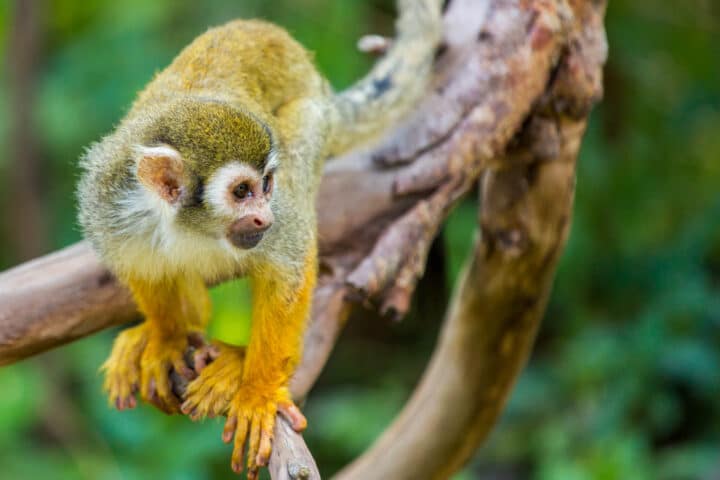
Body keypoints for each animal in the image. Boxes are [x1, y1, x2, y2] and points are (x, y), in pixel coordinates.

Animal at [76, 0, 442, 476]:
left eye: (265, 185)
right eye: (241, 192)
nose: (264, 216)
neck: (188, 224)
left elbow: (289, 270)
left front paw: (259, 392)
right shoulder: (107, 200)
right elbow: (140, 266)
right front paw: (167, 337)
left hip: (311, 117)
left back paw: (236, 360)